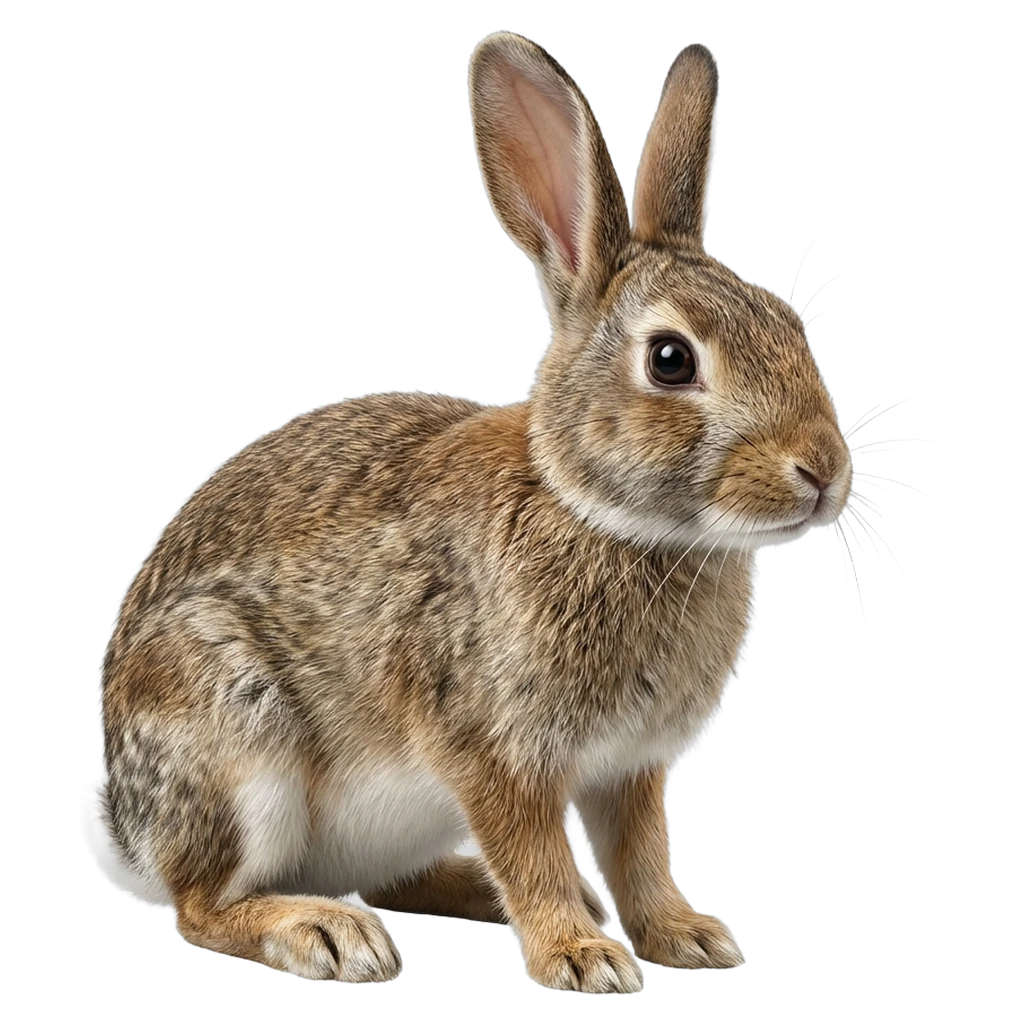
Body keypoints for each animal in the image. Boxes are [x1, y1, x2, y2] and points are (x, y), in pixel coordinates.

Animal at [85, 31, 853, 993]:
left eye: (789, 332)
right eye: (671, 360)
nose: (824, 471)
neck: (601, 514)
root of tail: (129, 831)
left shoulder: (633, 770)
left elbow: (640, 856)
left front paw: (684, 937)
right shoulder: (494, 751)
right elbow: (531, 853)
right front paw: (581, 957)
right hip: (231, 738)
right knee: (201, 905)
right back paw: (325, 933)